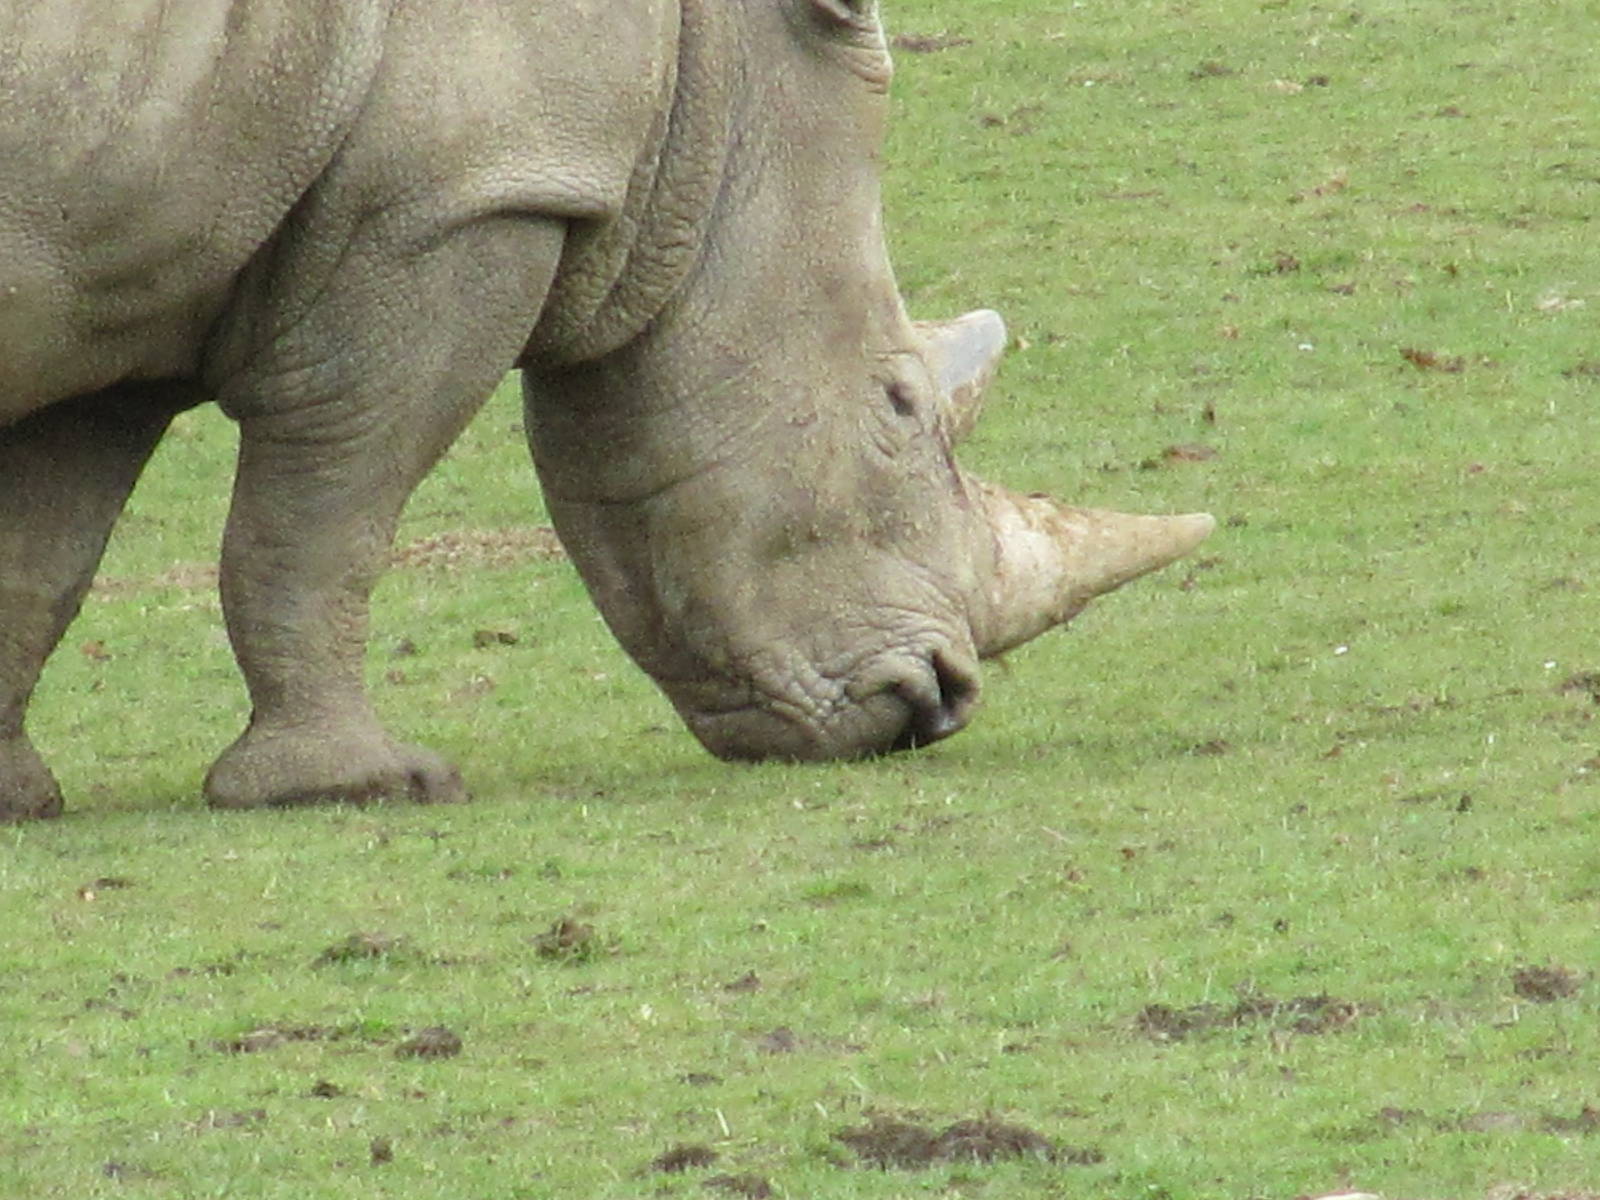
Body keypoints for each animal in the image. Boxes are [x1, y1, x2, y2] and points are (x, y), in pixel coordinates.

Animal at [0, 0, 1214, 822]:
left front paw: (15, 800)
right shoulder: (463, 197)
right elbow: (328, 510)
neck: (708, 98)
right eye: (900, 404)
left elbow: (46, 547)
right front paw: (362, 785)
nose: (937, 707)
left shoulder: (117, 274)